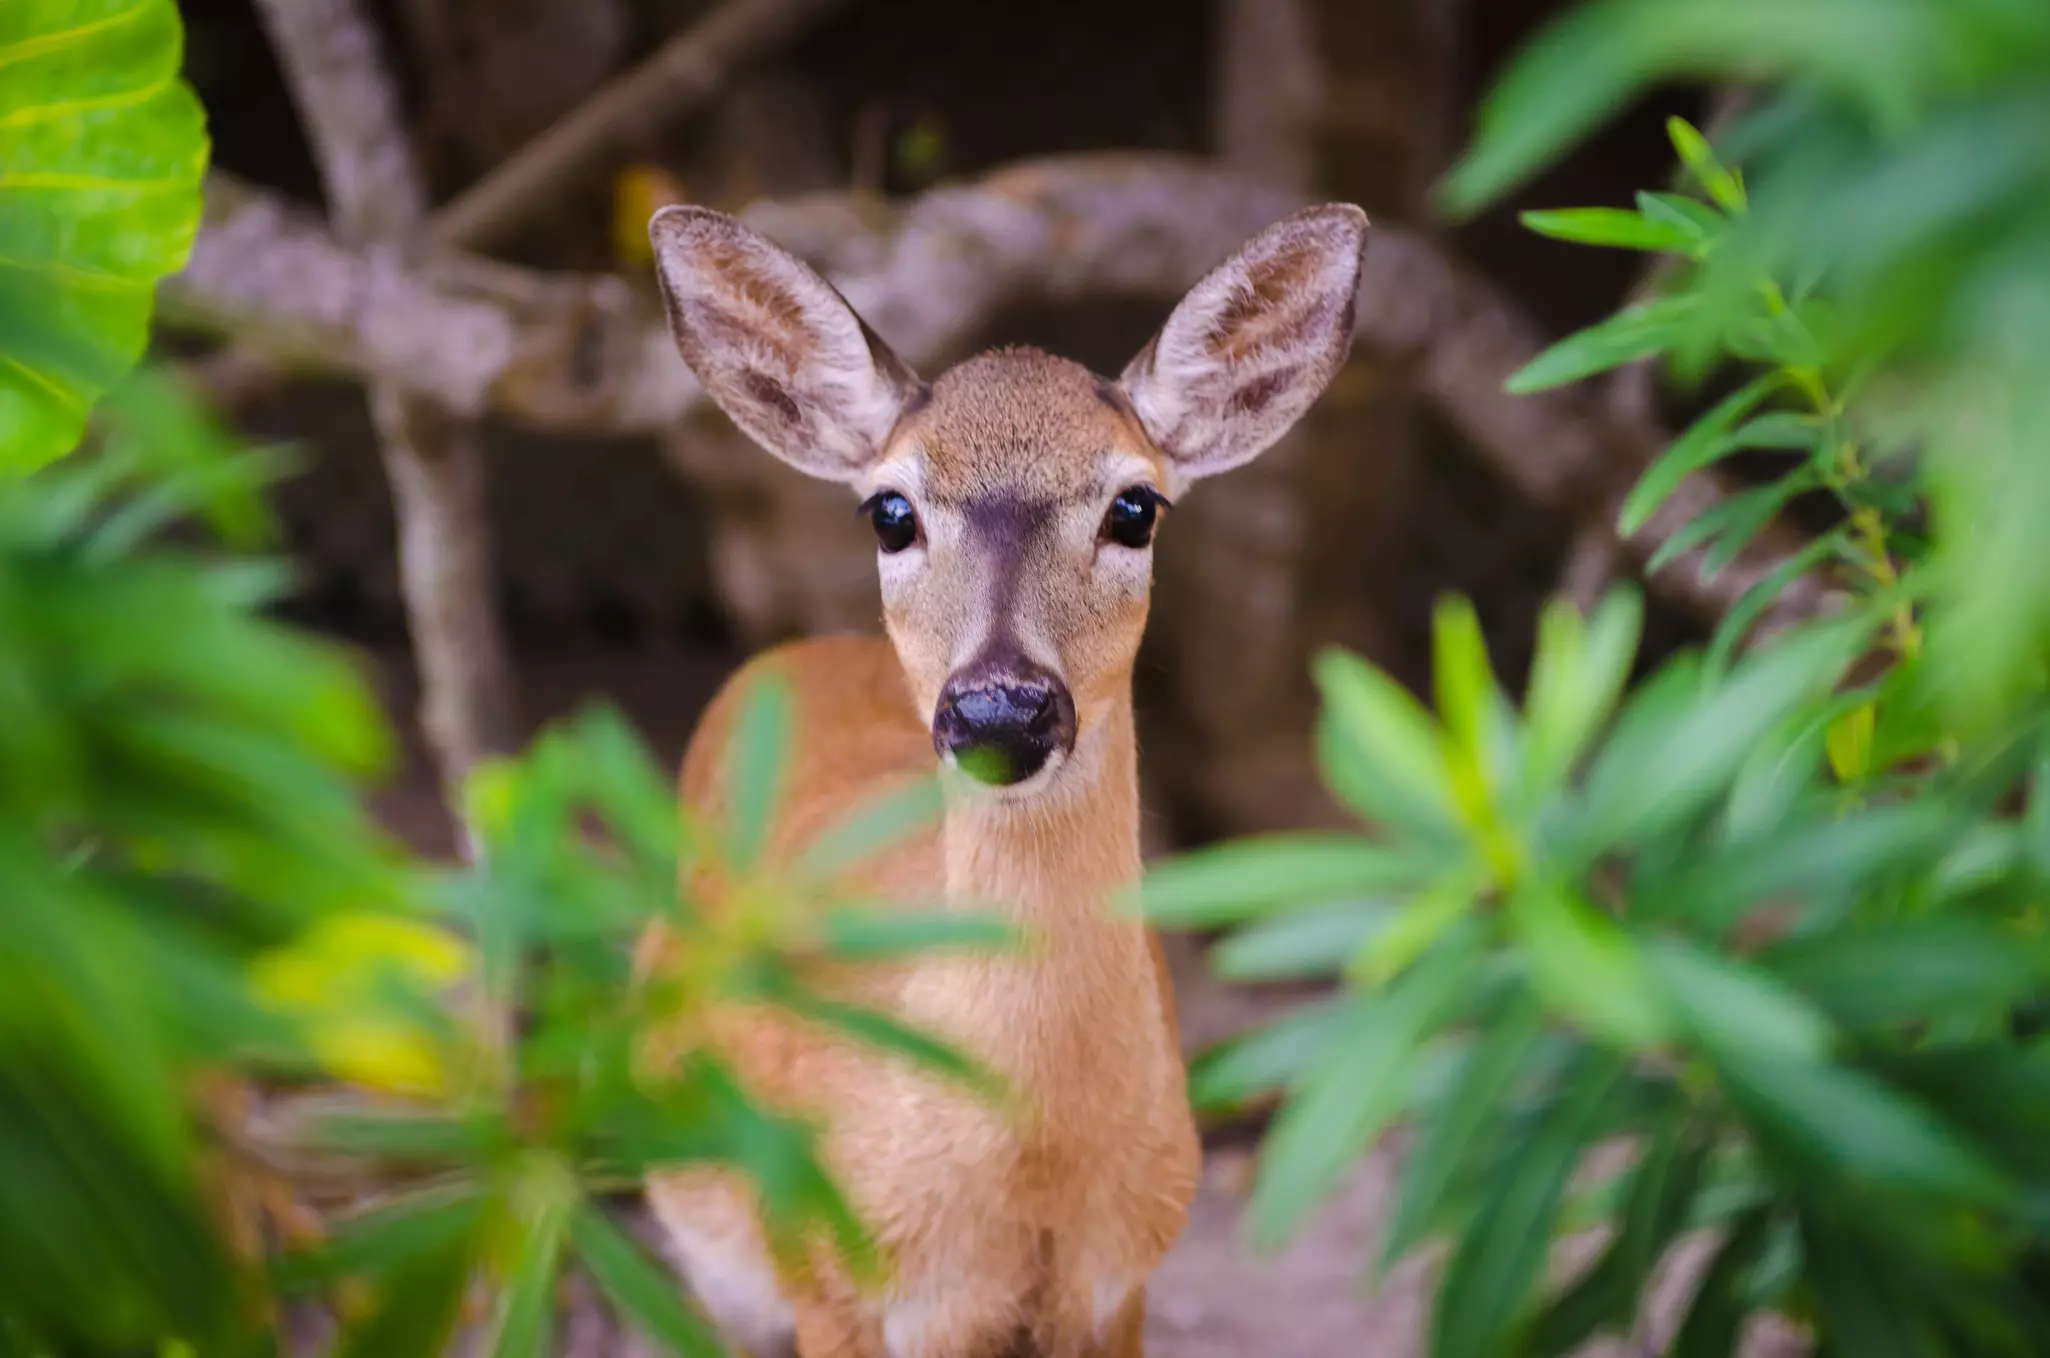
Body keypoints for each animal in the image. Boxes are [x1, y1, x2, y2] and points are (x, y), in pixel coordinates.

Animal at [637, 198, 1370, 1358]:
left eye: (1136, 507)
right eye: (890, 511)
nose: (999, 709)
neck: (1027, 1183)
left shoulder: (1123, 1286)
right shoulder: (826, 1281)